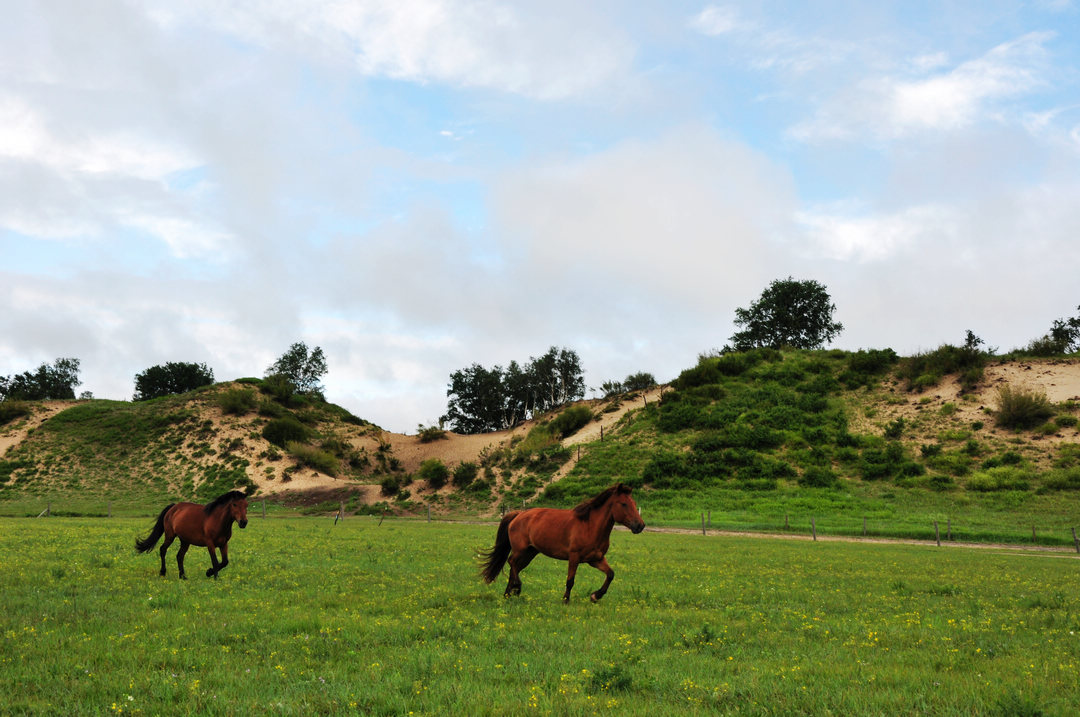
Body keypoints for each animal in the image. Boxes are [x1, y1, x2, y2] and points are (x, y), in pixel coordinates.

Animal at [479, 481, 639, 604]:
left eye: (634, 503)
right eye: (624, 504)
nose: (640, 525)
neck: (590, 526)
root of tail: (519, 514)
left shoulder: (596, 559)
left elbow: (610, 574)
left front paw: (595, 596)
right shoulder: (574, 557)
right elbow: (570, 580)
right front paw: (565, 600)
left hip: (531, 552)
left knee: (516, 567)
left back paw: (508, 593)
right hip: (520, 550)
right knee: (512, 562)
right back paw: (516, 588)